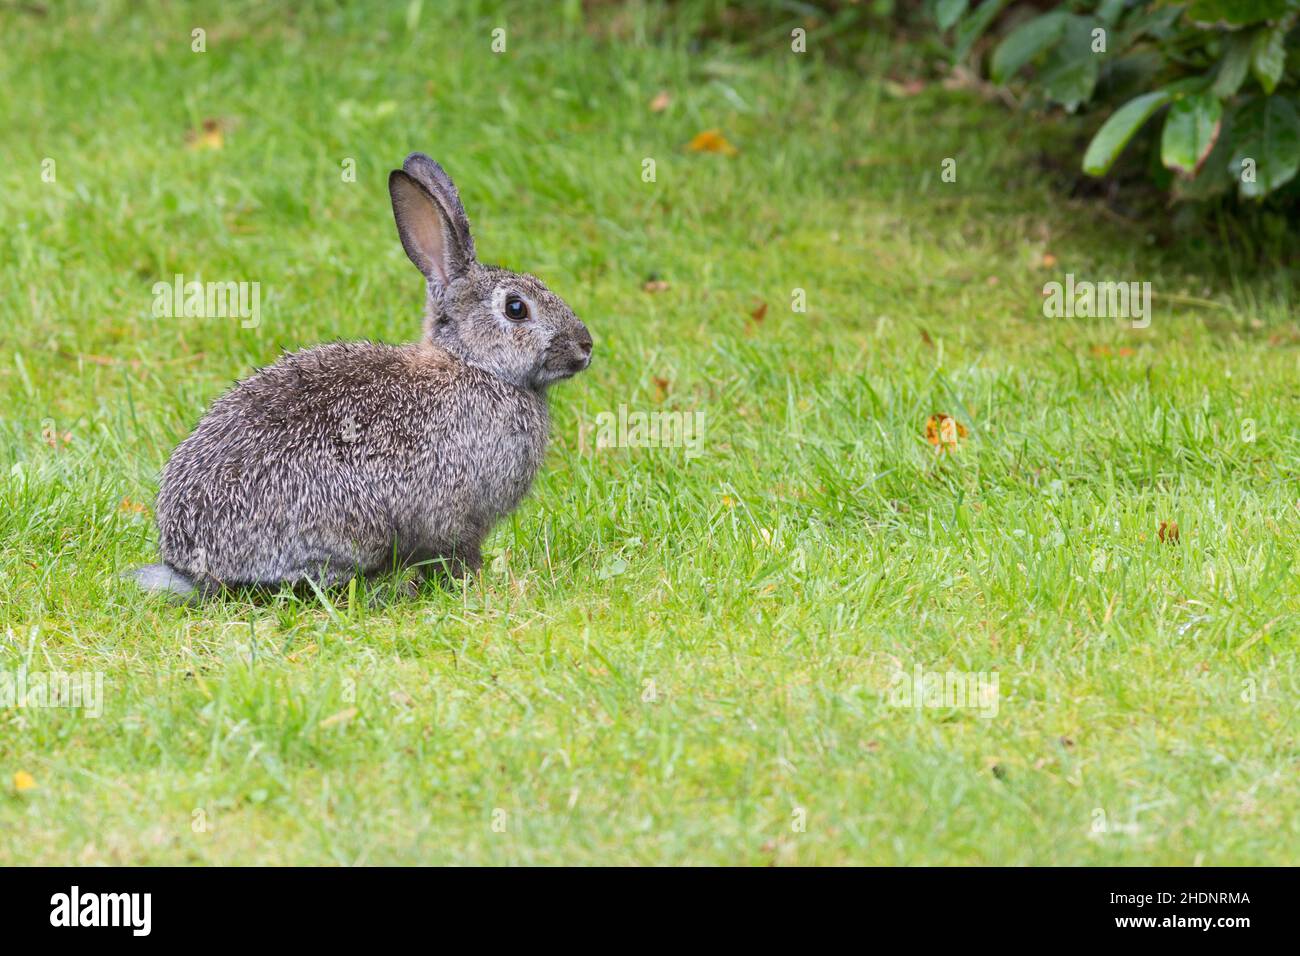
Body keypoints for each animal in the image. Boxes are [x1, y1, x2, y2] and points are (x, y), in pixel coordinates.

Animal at [132, 152, 592, 600]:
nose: (586, 346)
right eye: (516, 308)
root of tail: (191, 567)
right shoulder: (457, 515)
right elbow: (455, 554)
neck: (475, 364)